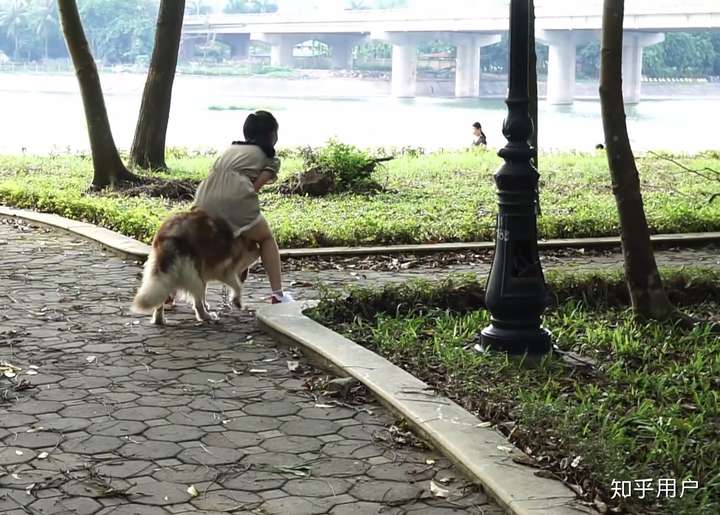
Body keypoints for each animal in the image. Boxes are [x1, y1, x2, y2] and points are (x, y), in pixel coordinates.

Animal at [131, 209, 260, 322]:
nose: (245, 275)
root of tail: (170, 235)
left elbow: (205, 290)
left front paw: (206, 303)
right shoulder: (223, 270)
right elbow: (237, 286)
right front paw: (236, 300)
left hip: (160, 271)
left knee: (161, 296)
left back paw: (159, 319)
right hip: (192, 273)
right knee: (197, 300)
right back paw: (205, 316)